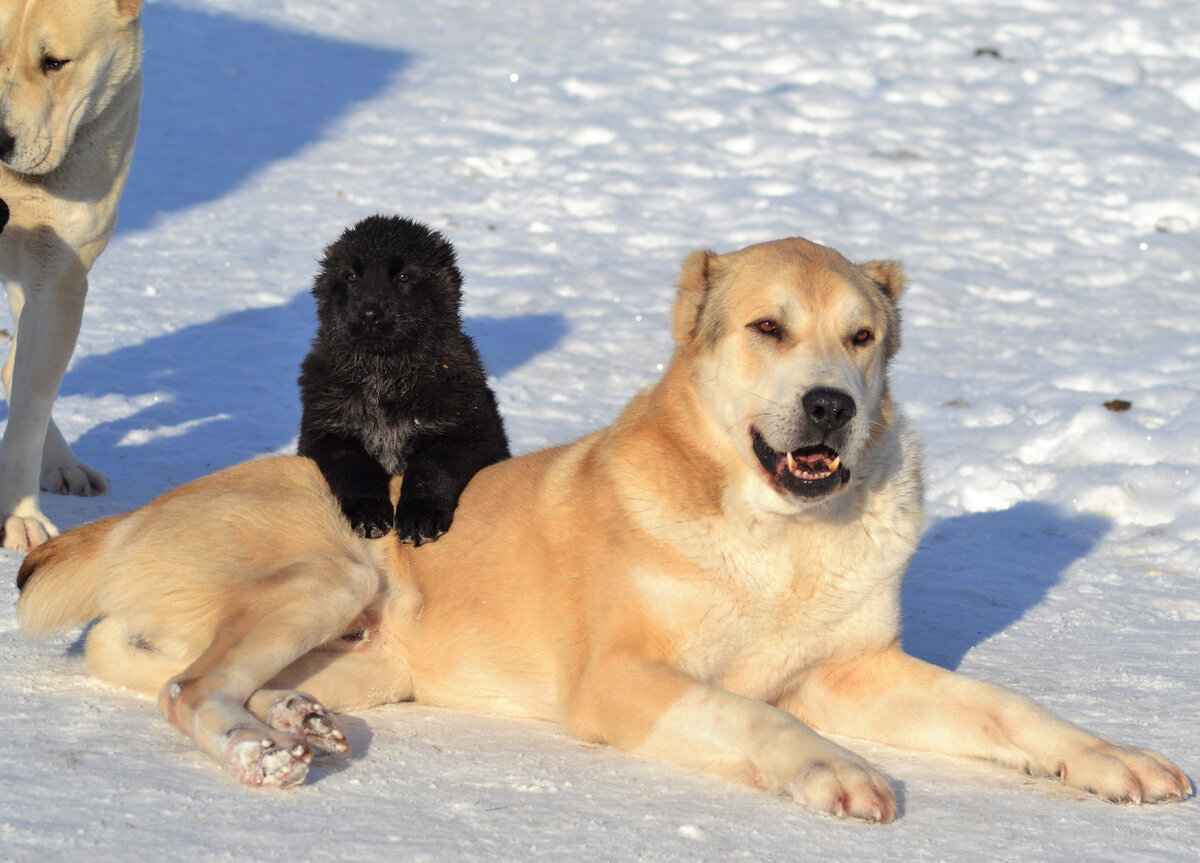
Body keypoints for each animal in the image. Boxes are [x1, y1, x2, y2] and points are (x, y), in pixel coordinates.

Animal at [300, 216, 511, 542]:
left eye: (403, 276)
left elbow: (431, 465)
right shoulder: (325, 433)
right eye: (351, 276)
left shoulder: (470, 433)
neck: (385, 373)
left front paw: (421, 516)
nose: (370, 313)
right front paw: (368, 512)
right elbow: (354, 466)